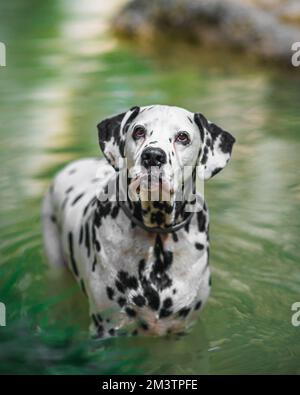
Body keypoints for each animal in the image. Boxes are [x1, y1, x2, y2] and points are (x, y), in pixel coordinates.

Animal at [42, 106, 234, 340]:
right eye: (139, 131)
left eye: (183, 137)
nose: (153, 156)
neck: (157, 235)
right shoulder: (105, 328)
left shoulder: (181, 327)